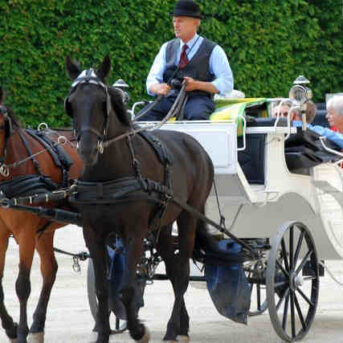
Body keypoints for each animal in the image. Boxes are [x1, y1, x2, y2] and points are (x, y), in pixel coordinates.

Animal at [0, 87, 82, 342]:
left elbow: (22, 285)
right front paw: (11, 327)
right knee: (50, 270)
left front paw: (20, 332)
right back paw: (37, 325)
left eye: (1, 125)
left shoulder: (25, 232)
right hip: (45, 229)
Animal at [65, 56, 215, 343]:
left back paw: (172, 329)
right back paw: (181, 326)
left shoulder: (133, 232)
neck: (107, 174)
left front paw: (138, 329)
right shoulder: (93, 233)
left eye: (102, 102)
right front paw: (103, 333)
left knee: (181, 275)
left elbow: (125, 288)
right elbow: (103, 289)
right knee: (174, 270)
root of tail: (193, 143)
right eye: (72, 103)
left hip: (188, 216)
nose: (87, 150)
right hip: (163, 224)